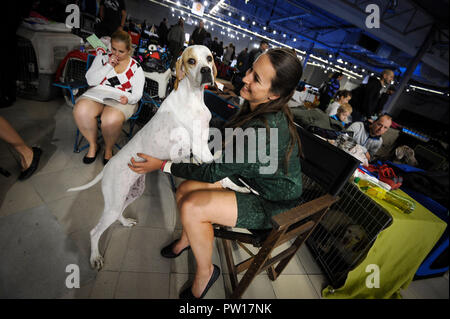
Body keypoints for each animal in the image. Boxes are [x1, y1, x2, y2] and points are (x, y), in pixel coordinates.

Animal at [67, 45, 244, 270]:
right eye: (191, 61)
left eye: (209, 58)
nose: (206, 71)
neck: (193, 96)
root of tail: (107, 167)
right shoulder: (199, 147)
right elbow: (223, 174)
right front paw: (238, 186)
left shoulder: (199, 149)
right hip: (113, 204)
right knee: (94, 232)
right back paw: (95, 257)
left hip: (131, 193)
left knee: (118, 215)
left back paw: (125, 222)